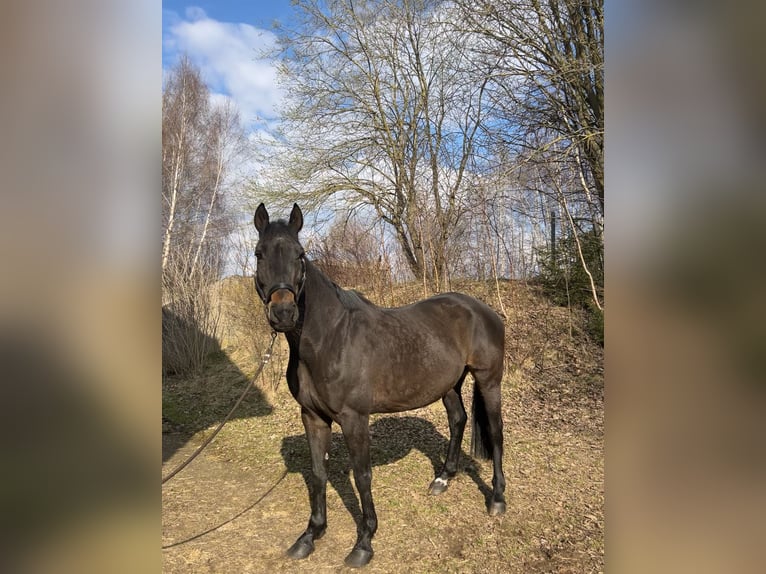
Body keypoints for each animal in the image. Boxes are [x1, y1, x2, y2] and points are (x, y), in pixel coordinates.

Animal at [253, 203, 507, 568]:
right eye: (259, 254)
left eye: (299, 255)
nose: (284, 313)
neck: (330, 338)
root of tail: (483, 309)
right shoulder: (312, 417)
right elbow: (318, 472)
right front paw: (310, 534)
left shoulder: (354, 419)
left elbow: (362, 476)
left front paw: (364, 543)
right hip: (449, 385)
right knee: (458, 420)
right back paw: (442, 479)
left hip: (489, 381)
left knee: (497, 434)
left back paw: (497, 499)